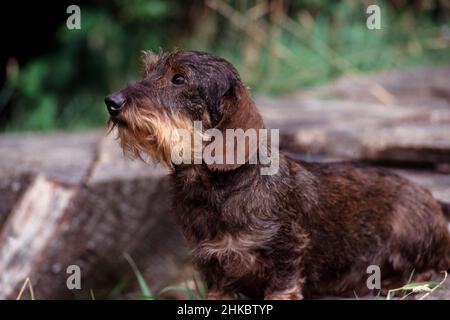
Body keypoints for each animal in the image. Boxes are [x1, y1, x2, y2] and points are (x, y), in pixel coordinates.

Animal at [106, 50, 450, 300]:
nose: (111, 102)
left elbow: (282, 285)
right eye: (149, 72)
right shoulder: (214, 267)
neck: (219, 188)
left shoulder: (286, 255)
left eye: (179, 78)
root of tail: (431, 199)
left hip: (407, 229)